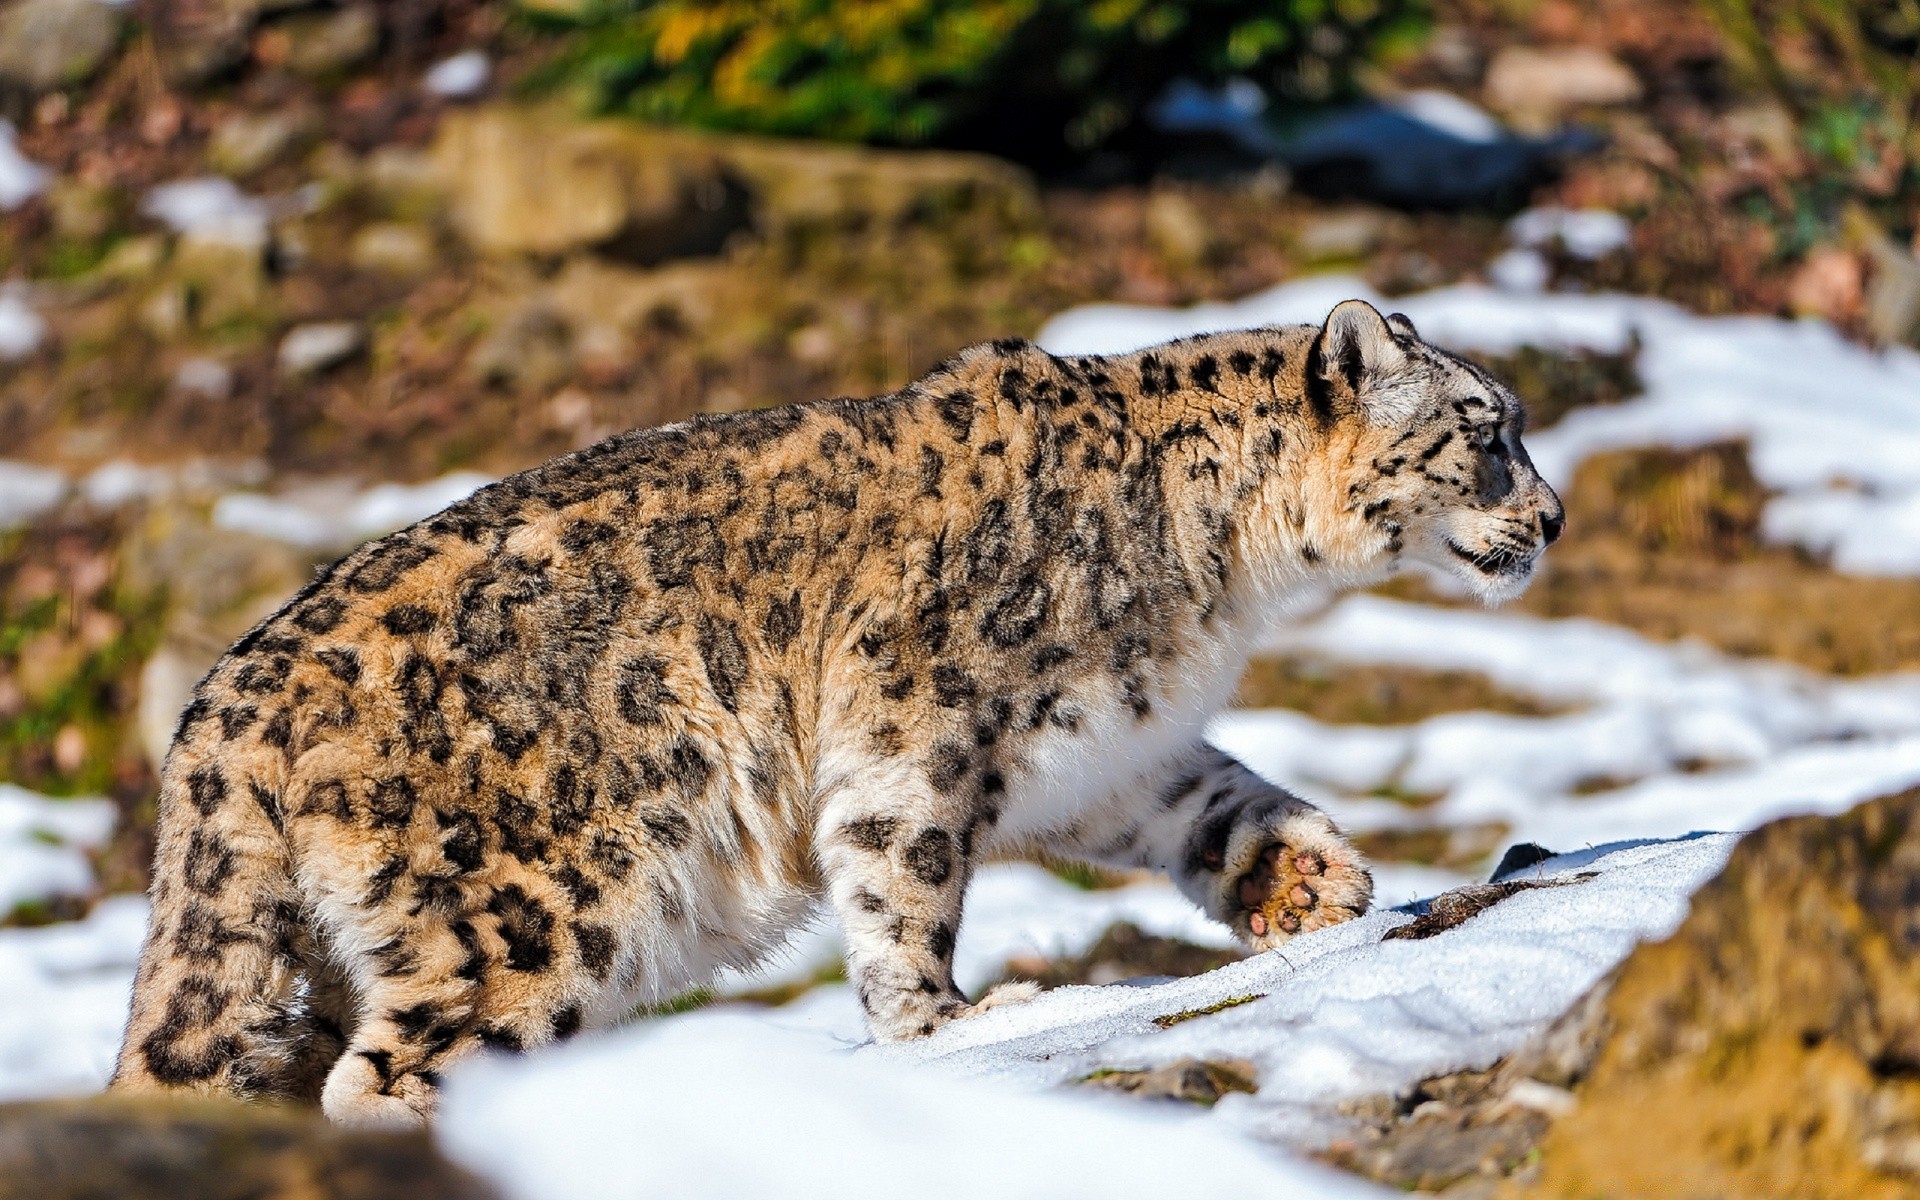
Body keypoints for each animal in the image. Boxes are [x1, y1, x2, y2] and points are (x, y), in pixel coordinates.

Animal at [108, 299, 1559, 1121]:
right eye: (1486, 430)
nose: (1553, 516)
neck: (1220, 585)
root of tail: (221, 710)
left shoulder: (1103, 748)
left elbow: (1207, 796)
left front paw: (1307, 881)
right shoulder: (917, 721)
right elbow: (903, 875)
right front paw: (951, 1022)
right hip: (540, 911)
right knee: (389, 1073)